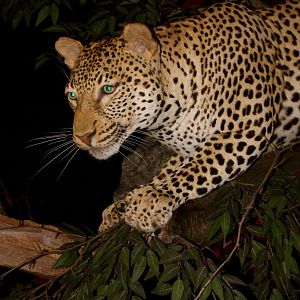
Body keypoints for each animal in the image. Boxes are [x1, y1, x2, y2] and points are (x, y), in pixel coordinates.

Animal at [55, 0, 300, 233]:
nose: (83, 137)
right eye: (72, 96)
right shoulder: (188, 146)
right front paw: (121, 206)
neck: (168, 118)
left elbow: (198, 167)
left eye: (108, 89)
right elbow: (168, 170)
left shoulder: (246, 127)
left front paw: (152, 198)